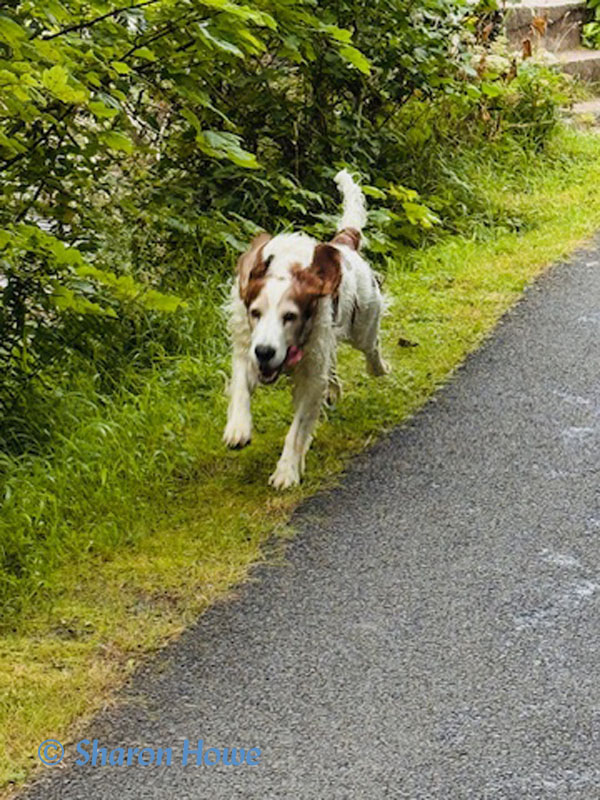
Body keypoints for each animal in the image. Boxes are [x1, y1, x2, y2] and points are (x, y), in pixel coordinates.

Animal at [223, 169, 389, 489]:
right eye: (255, 313)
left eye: (290, 316)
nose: (265, 352)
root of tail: (343, 243)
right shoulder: (248, 346)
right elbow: (240, 387)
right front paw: (238, 428)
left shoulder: (310, 371)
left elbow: (298, 428)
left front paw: (287, 471)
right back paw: (333, 390)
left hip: (363, 324)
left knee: (371, 347)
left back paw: (380, 368)